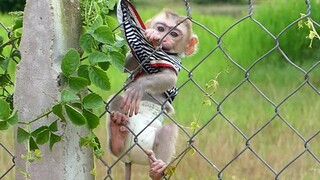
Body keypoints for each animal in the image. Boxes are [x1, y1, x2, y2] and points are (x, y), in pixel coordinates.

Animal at [107, 8, 198, 179]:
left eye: (174, 34)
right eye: (161, 28)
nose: (163, 38)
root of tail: (130, 158)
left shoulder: (172, 60)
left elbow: (169, 78)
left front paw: (138, 86)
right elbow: (127, 65)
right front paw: (151, 36)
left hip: (148, 149)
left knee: (168, 130)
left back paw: (157, 170)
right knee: (116, 100)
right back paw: (116, 137)